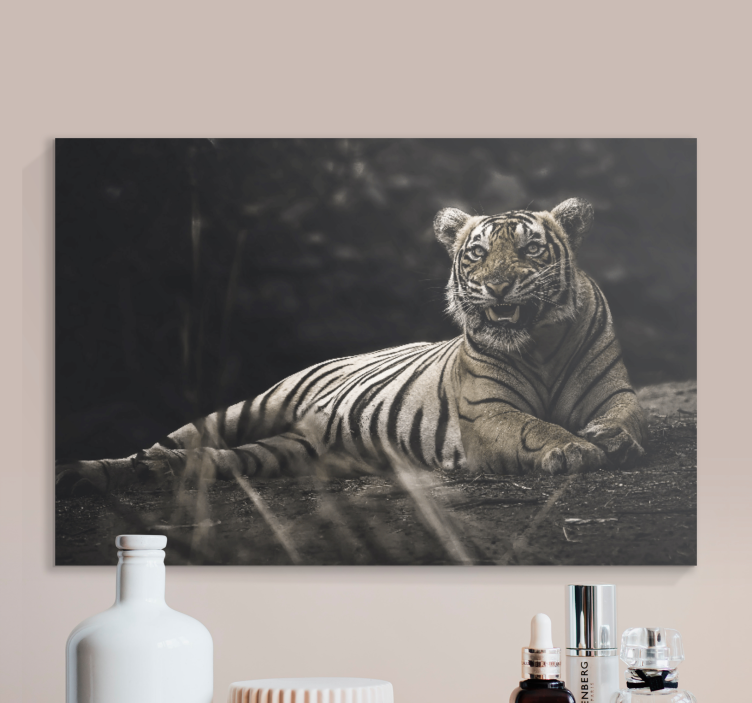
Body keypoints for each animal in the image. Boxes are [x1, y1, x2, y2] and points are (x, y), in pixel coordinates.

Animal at [55, 197, 647, 498]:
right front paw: (573, 448)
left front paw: (609, 438)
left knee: (211, 459)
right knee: (177, 439)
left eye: (530, 250)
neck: (540, 344)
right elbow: (534, 427)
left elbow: (627, 416)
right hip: (248, 407)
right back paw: (104, 469)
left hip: (283, 452)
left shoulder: (613, 392)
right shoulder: (488, 413)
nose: (498, 287)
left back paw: (151, 471)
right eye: (477, 254)